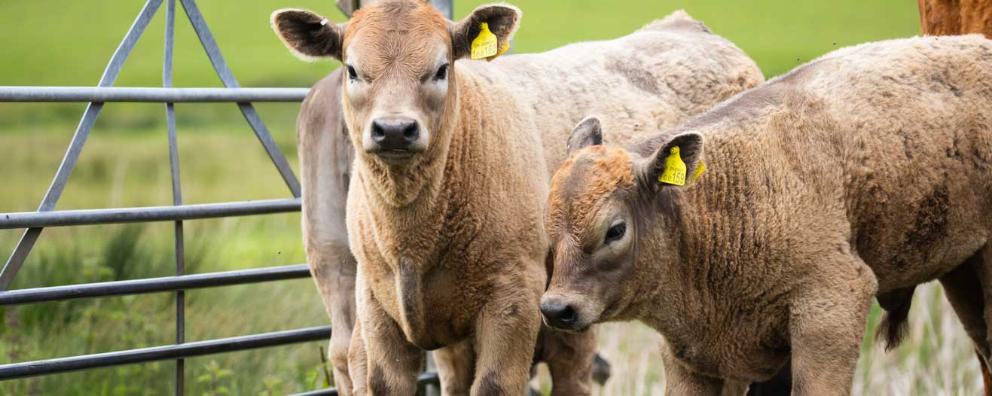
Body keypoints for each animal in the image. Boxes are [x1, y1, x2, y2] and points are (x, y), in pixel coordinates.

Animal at [544, 34, 992, 396]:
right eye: (549, 227)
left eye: (615, 230)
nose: (556, 309)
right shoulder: (690, 354)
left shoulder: (831, 310)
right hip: (961, 274)